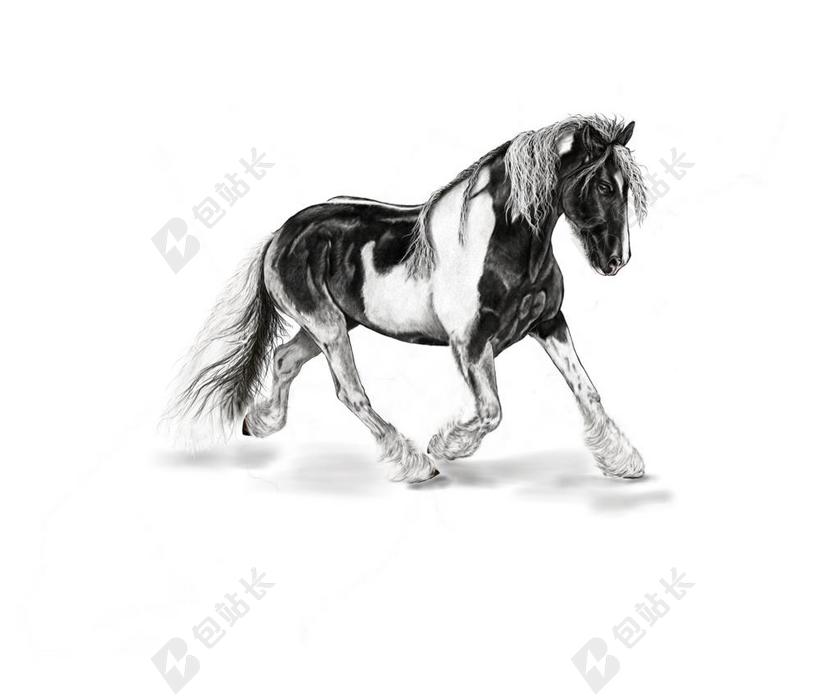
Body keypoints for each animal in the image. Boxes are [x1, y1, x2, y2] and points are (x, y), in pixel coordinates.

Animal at [164, 114, 649, 484]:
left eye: (625, 187)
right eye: (604, 187)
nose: (617, 260)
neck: (498, 243)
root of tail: (281, 234)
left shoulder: (549, 323)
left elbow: (587, 391)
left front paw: (625, 462)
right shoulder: (470, 344)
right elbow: (491, 411)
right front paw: (445, 446)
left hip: (328, 324)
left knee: (284, 359)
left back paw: (260, 423)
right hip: (328, 326)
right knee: (351, 394)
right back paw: (415, 464)